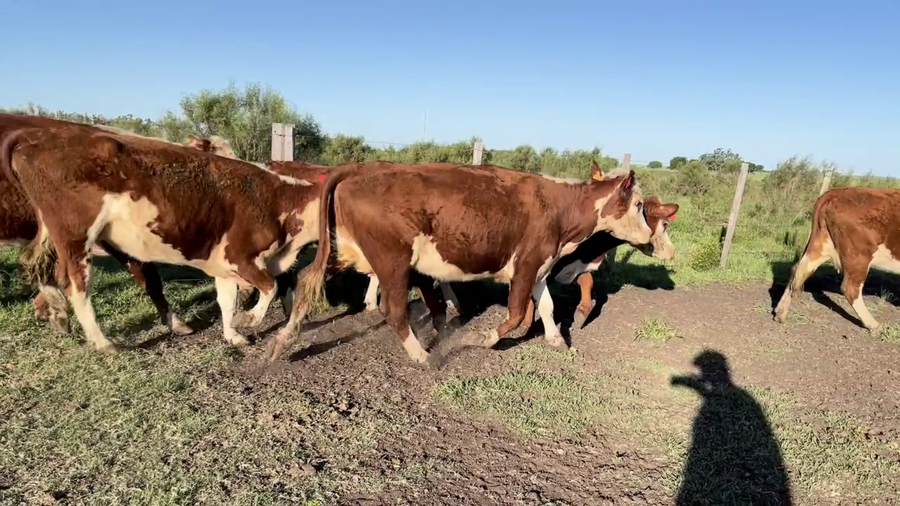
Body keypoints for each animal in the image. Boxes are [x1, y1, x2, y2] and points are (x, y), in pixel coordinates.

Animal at [263, 162, 653, 365]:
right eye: (638, 205)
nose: (650, 236)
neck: (558, 207)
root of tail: (356, 171)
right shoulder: (526, 266)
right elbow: (515, 315)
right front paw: (484, 338)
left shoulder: (541, 267)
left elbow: (546, 306)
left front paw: (557, 340)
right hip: (392, 260)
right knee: (394, 310)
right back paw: (422, 355)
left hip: (343, 251)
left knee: (304, 283)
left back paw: (281, 342)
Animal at [774, 186, 900, 332]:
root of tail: (837, 192)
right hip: (859, 254)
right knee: (850, 287)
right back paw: (873, 325)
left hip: (821, 245)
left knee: (798, 270)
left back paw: (780, 313)